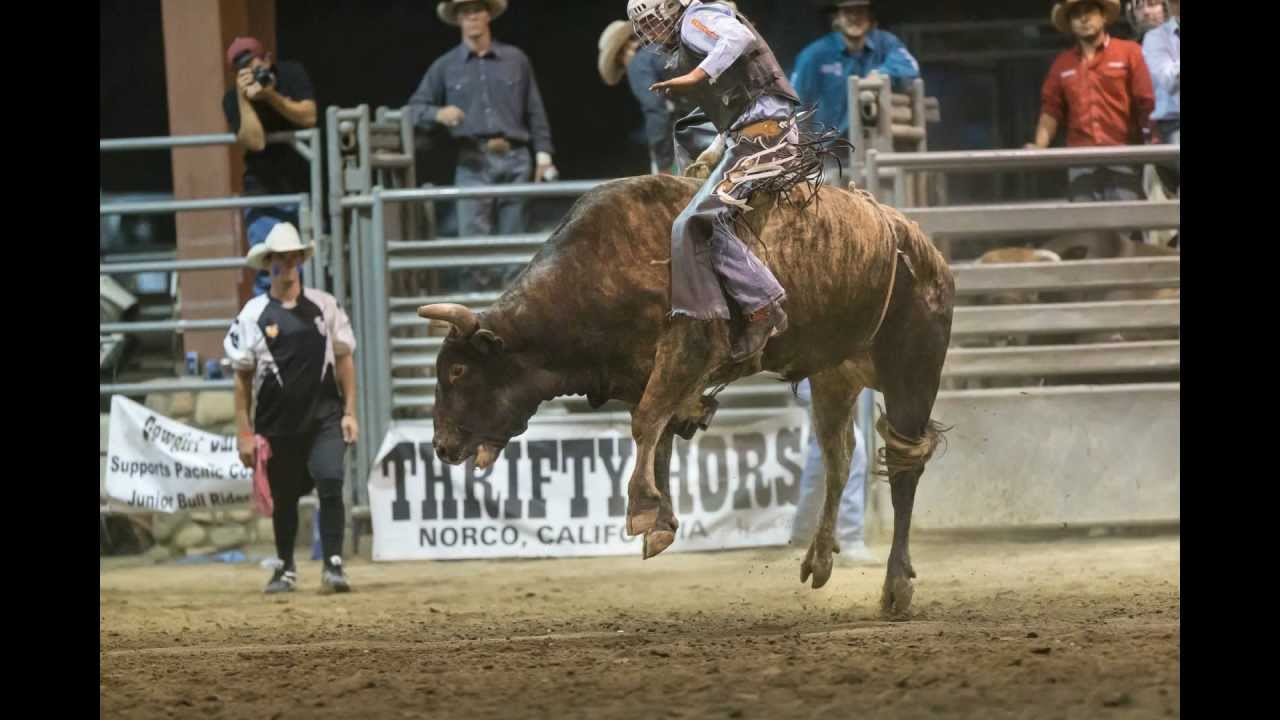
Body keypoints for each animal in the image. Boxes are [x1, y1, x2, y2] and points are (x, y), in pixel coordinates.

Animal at [417, 175, 952, 617]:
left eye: (459, 370)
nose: (441, 446)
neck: (598, 270)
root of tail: (921, 247)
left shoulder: (686, 348)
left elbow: (647, 423)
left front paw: (642, 510)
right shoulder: (646, 373)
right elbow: (659, 434)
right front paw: (661, 518)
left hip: (913, 372)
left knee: (903, 470)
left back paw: (896, 586)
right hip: (834, 375)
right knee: (839, 458)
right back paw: (820, 559)